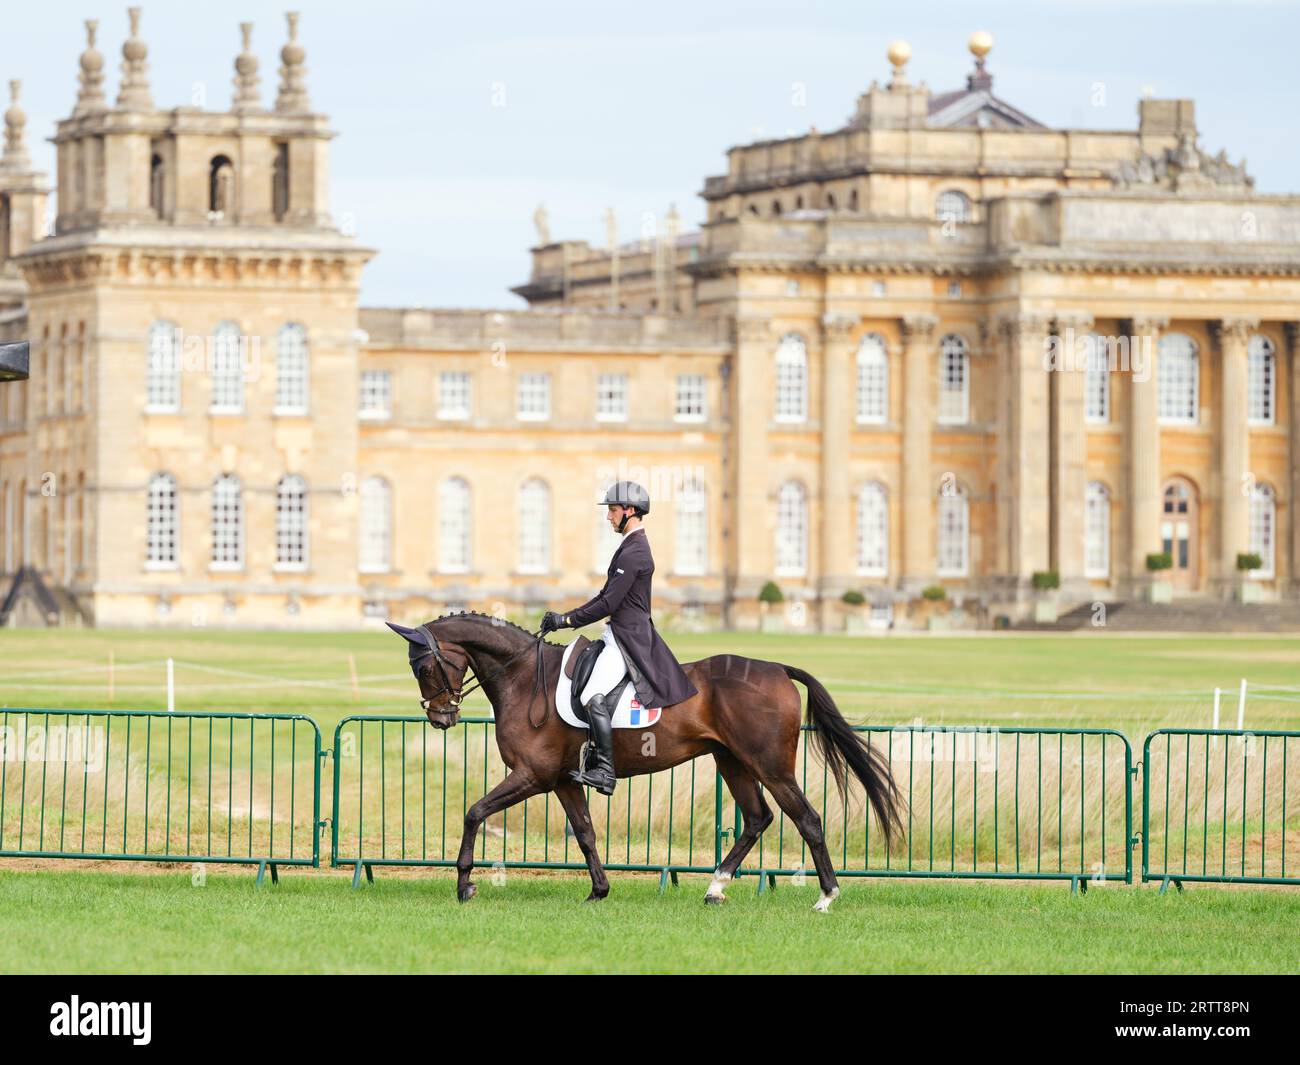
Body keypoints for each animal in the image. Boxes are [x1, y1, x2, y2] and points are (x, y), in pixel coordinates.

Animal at [384, 611, 904, 910]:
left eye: (424, 666)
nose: (441, 717)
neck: (524, 677)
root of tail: (777, 667)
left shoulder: (532, 775)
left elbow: (474, 812)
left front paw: (464, 885)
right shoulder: (562, 780)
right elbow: (586, 833)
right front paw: (598, 891)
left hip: (769, 765)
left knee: (807, 819)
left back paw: (827, 896)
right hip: (732, 761)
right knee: (757, 819)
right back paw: (715, 889)